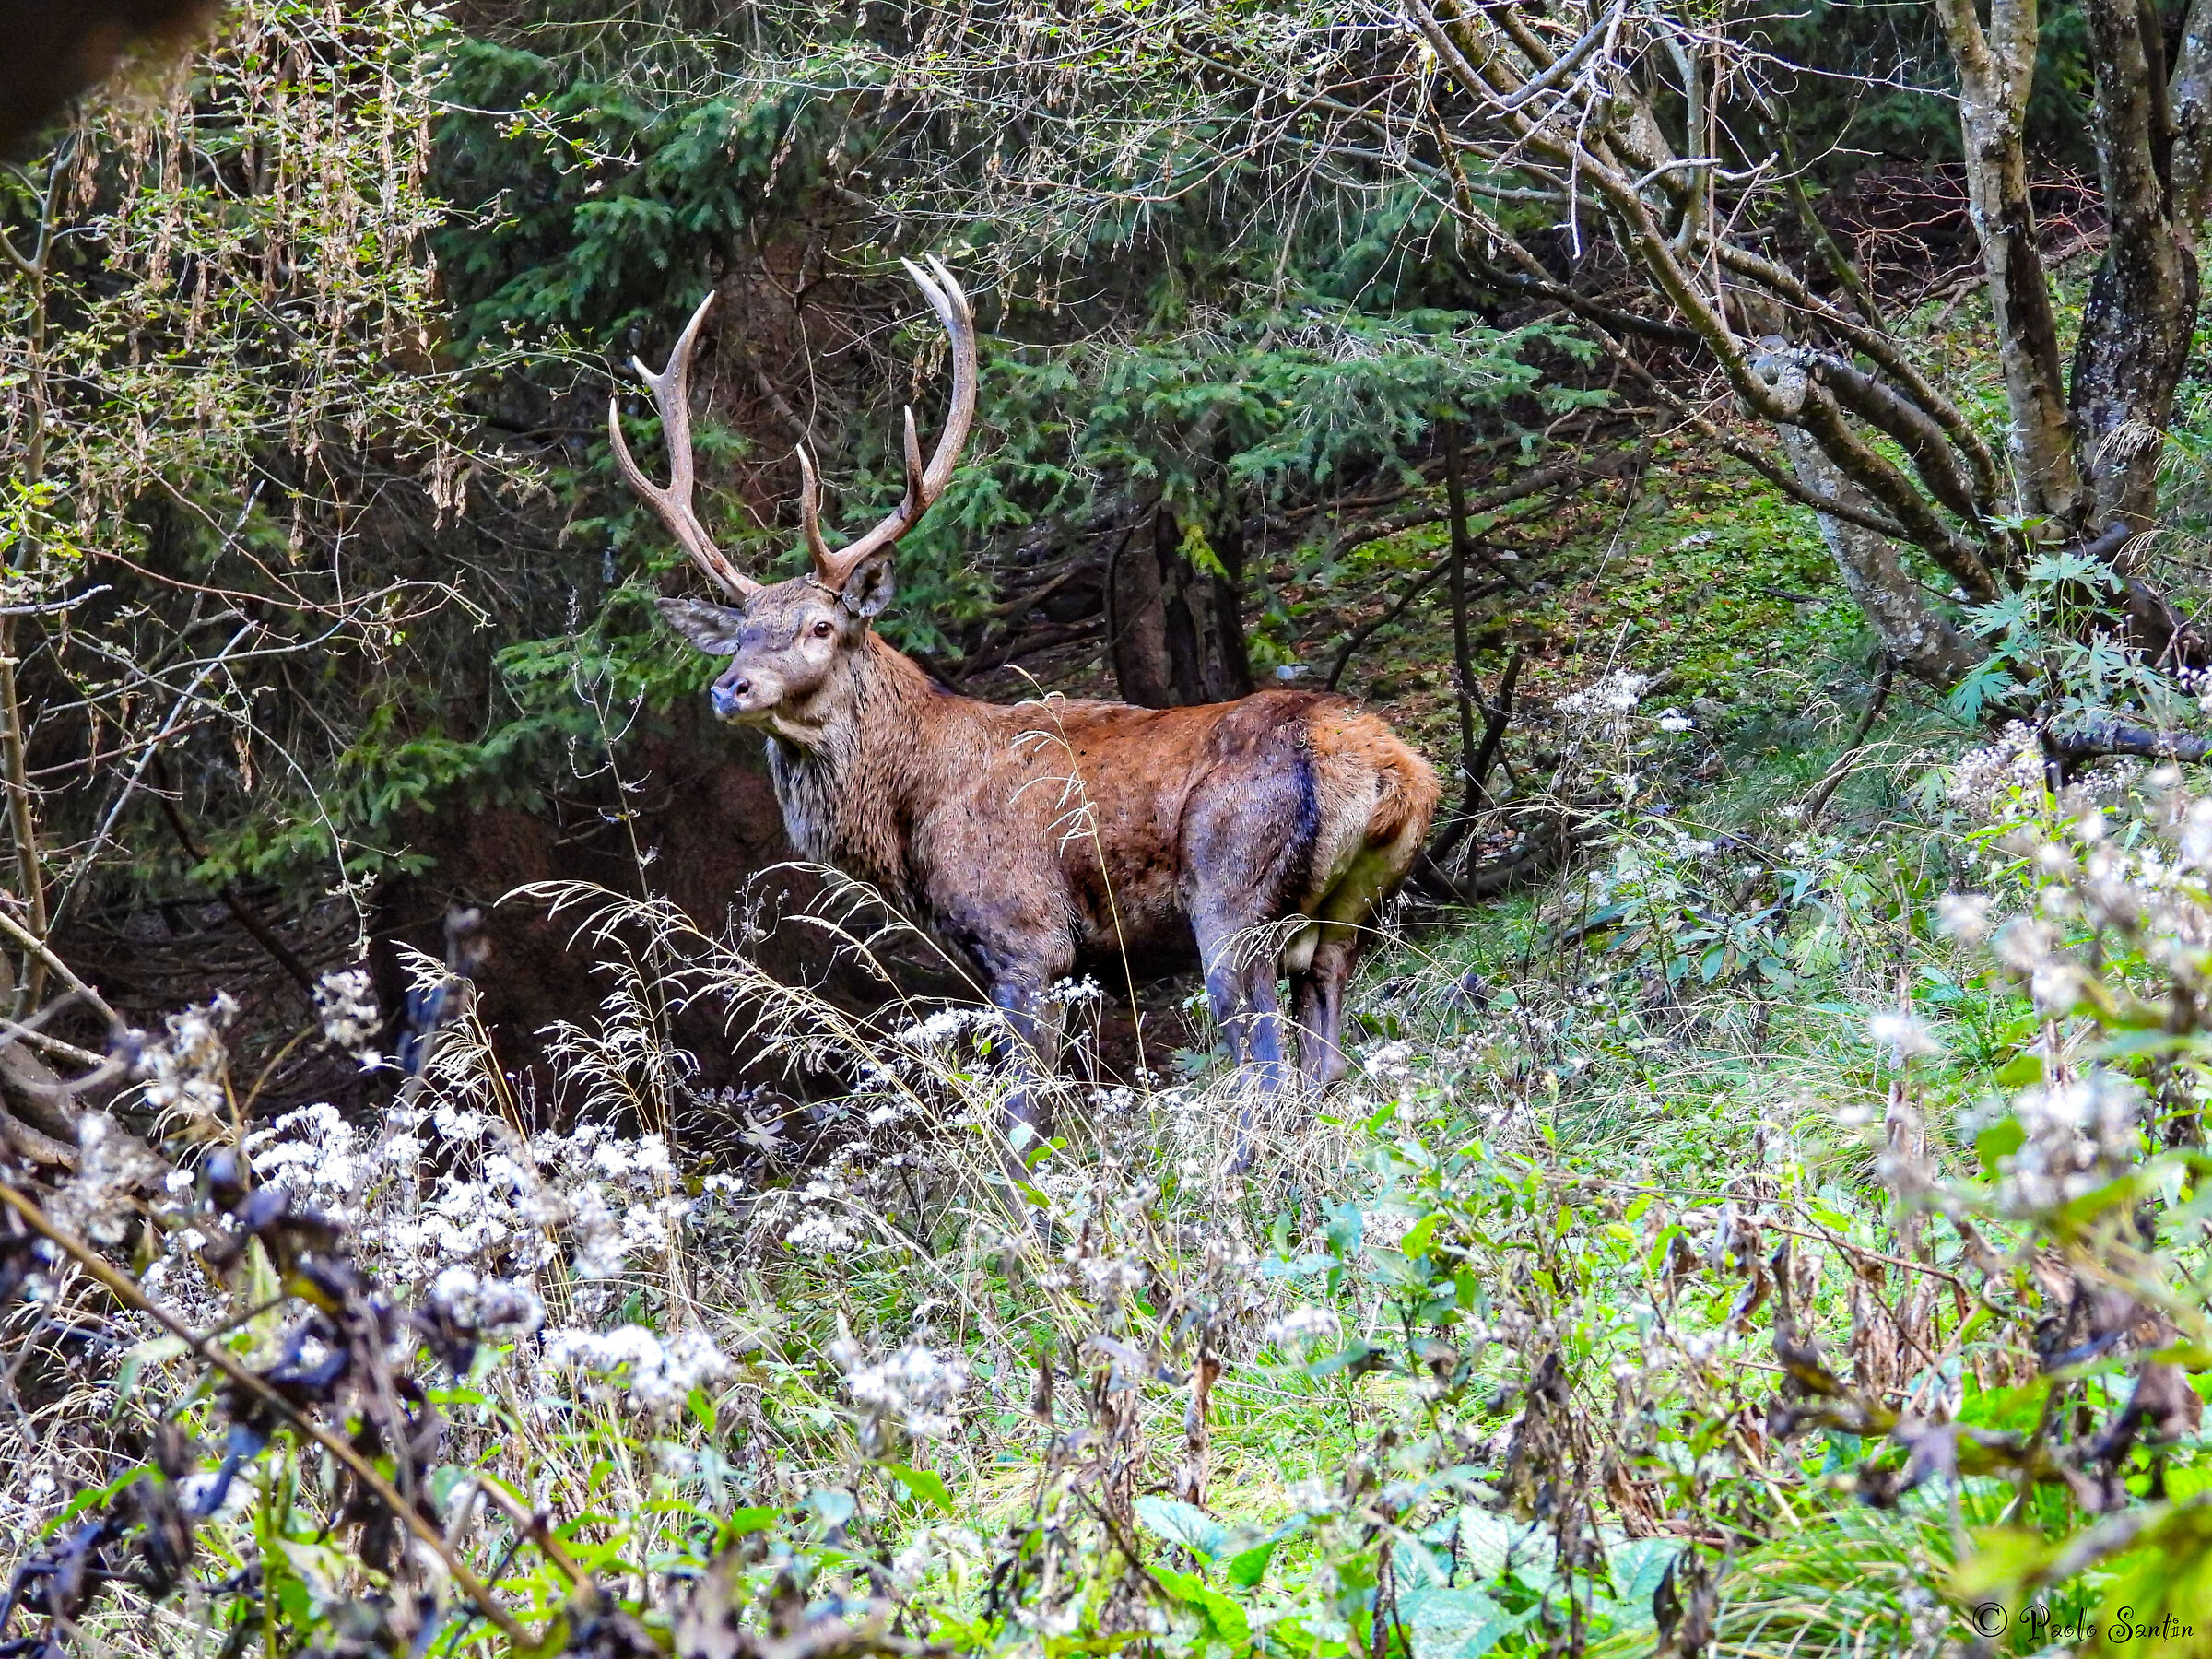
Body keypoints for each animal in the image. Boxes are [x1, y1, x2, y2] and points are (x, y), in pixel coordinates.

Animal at [608, 259, 1440, 1170]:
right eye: (740, 634)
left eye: (821, 627)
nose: (733, 688)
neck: (908, 809)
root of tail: (1390, 769)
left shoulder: (1027, 939)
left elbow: (1022, 1124)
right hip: (1348, 914)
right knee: (1328, 1065)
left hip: (1233, 901)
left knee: (1267, 1078)